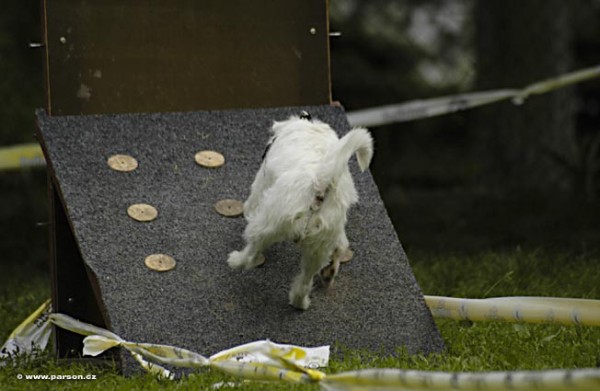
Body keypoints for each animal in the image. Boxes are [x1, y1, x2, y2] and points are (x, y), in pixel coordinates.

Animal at [227, 111, 372, 310]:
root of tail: (320, 184)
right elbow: (341, 246)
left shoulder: (260, 186)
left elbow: (251, 204)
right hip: (318, 248)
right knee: (304, 282)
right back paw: (302, 300)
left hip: (267, 222)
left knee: (251, 253)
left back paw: (235, 260)